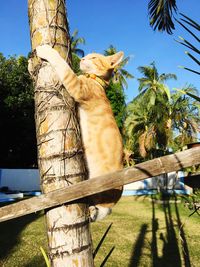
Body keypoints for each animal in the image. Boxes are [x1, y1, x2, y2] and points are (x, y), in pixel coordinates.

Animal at [36, 44, 123, 222]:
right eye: (87, 56)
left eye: (94, 57)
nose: (82, 59)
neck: (96, 81)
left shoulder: (76, 85)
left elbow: (62, 65)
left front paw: (46, 50)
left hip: (103, 188)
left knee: (106, 208)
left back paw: (95, 212)